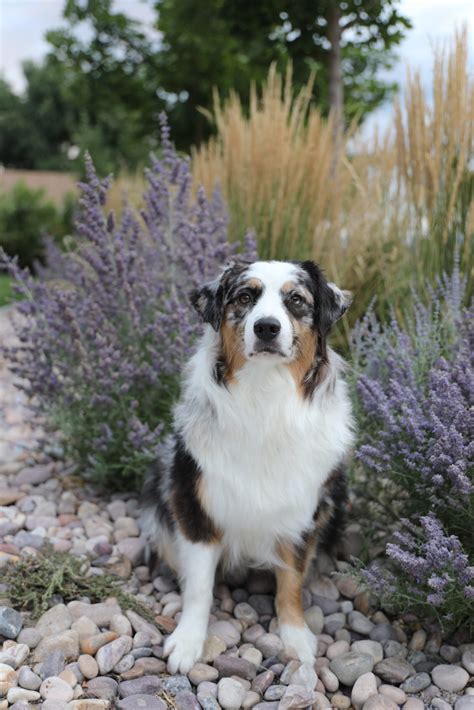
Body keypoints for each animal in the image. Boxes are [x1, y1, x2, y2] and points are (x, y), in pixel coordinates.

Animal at [139, 260, 354, 672]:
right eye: (244, 297)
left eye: (296, 300)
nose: (267, 327)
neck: (264, 393)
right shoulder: (195, 503)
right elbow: (200, 587)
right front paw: (188, 642)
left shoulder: (304, 512)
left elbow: (291, 580)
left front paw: (295, 637)